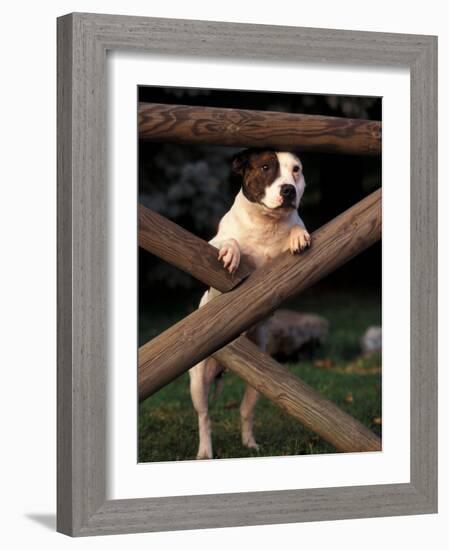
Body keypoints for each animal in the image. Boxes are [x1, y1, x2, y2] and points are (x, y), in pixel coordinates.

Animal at [187, 148, 310, 462]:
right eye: (266, 167)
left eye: (296, 169)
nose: (288, 190)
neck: (266, 224)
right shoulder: (209, 247)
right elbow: (228, 241)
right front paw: (232, 251)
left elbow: (297, 228)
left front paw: (298, 234)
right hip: (198, 381)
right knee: (204, 417)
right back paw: (205, 451)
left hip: (260, 381)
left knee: (245, 411)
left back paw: (249, 443)